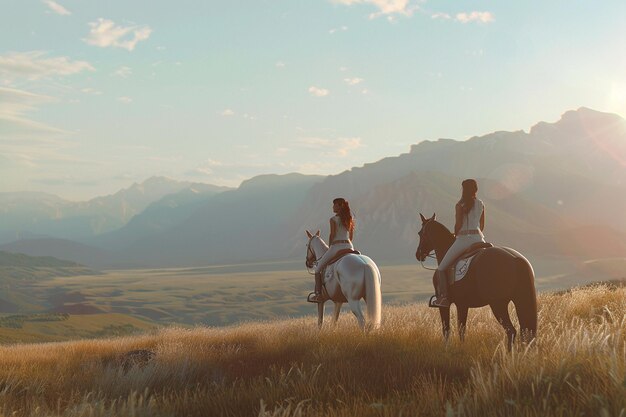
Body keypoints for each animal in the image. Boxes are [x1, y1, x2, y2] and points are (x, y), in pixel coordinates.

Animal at [414, 213, 536, 350]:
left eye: (420, 233)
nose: (418, 254)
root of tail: (515, 259)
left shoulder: (444, 305)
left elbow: (446, 329)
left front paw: (446, 349)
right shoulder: (462, 305)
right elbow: (461, 329)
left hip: (498, 304)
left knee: (511, 331)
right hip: (518, 300)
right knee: (525, 332)